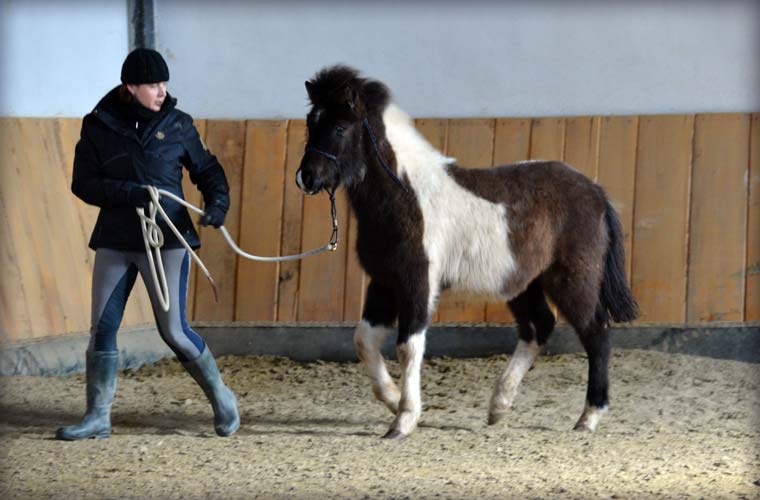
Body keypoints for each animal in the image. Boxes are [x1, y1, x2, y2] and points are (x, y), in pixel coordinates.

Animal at [296, 65, 636, 438]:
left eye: (340, 127)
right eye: (311, 122)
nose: (307, 178)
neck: (406, 194)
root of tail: (596, 192)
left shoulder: (417, 282)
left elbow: (408, 346)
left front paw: (404, 419)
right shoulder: (384, 281)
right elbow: (364, 340)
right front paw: (392, 398)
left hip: (573, 279)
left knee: (596, 332)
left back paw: (588, 417)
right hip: (523, 282)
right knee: (539, 326)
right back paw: (499, 406)